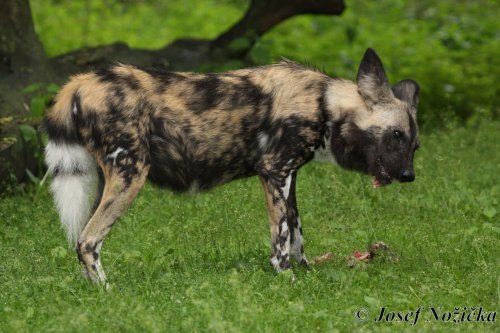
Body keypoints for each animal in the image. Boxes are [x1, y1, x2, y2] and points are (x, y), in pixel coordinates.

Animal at [43, 49, 420, 282]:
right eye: (395, 135)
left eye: (414, 145)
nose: (409, 176)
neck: (324, 104)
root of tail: (81, 81)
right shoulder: (275, 173)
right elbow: (282, 239)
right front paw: (287, 279)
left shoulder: (289, 178)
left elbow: (298, 234)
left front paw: (308, 275)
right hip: (131, 176)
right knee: (88, 241)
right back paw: (108, 292)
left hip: (109, 180)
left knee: (83, 237)